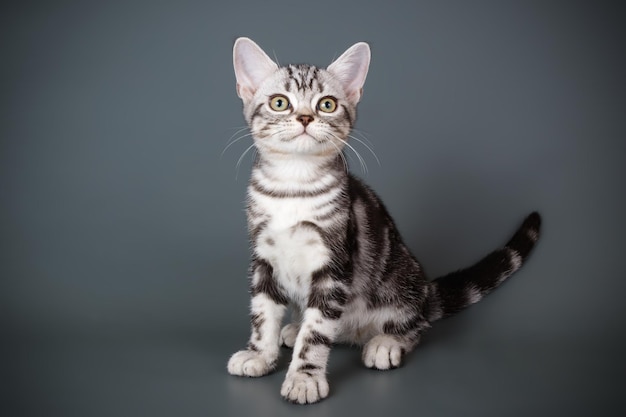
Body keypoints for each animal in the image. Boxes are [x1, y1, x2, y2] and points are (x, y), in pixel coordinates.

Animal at [225, 36, 540, 404]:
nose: (304, 117)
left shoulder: (334, 263)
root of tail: (426, 292)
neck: (293, 186)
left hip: (399, 282)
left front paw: (305, 377)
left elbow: (317, 333)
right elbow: (263, 313)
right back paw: (293, 327)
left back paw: (387, 342)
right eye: (279, 103)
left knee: (415, 324)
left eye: (327, 105)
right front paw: (260, 354)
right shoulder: (263, 256)